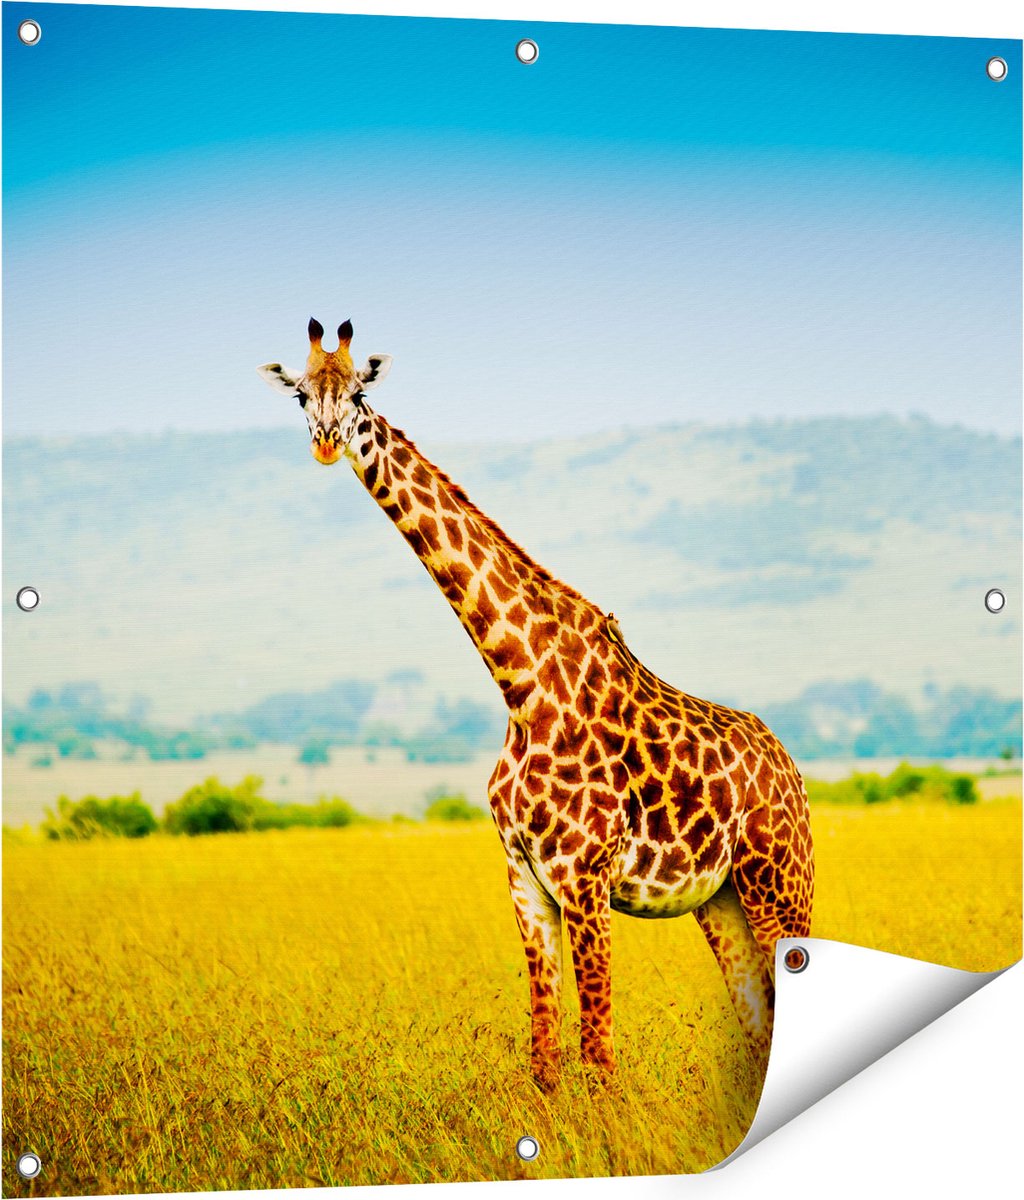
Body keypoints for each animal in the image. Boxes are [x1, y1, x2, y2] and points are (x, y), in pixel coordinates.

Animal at [258, 319, 814, 1090]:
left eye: (361, 393)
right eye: (301, 395)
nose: (326, 442)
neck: (519, 684)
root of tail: (793, 770)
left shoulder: (584, 878)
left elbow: (599, 1055)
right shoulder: (524, 879)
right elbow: (546, 1057)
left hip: (780, 882)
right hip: (723, 899)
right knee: (759, 1019)